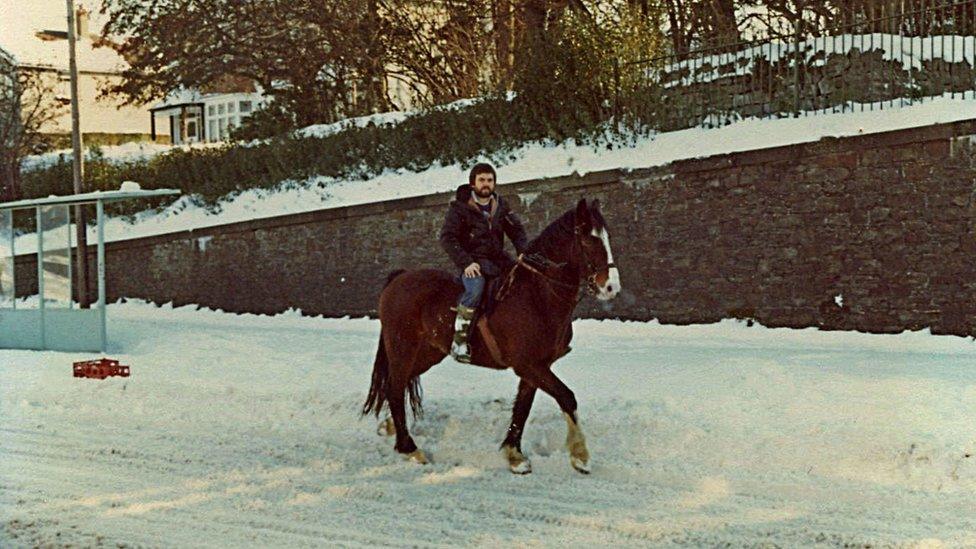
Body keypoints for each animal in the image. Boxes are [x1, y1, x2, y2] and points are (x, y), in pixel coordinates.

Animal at [362, 199, 620, 474]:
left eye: (607, 237)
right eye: (588, 240)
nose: (611, 287)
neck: (537, 295)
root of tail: (399, 277)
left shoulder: (536, 368)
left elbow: (522, 408)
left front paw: (515, 455)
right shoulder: (528, 365)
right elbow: (566, 397)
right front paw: (580, 455)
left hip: (427, 353)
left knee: (397, 386)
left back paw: (390, 427)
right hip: (403, 349)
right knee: (395, 387)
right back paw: (409, 448)